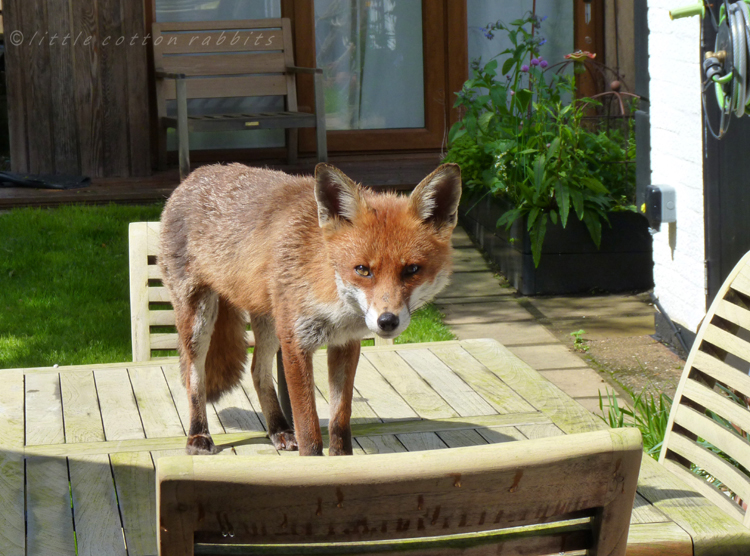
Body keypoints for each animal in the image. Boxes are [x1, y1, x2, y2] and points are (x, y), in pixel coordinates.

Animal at [161, 161, 462, 456]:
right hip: (200, 322)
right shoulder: (296, 343)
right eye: (362, 270)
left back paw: (279, 429)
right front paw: (313, 464)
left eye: (412, 270)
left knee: (257, 371)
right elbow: (309, 432)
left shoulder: (345, 344)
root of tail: (195, 174)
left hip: (269, 324)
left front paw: (341, 461)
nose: (387, 321)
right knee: (194, 378)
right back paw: (198, 436)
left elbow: (340, 421)